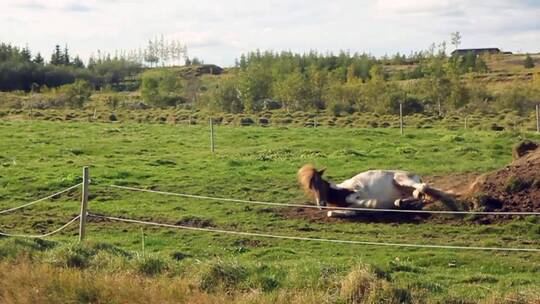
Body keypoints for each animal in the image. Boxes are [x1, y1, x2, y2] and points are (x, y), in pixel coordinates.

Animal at [298, 165, 454, 217]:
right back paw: (401, 202)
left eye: (321, 184)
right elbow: (333, 213)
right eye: (311, 187)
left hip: (401, 180)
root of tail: (416, 176)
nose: (321, 204)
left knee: (422, 189)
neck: (341, 191)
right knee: (420, 196)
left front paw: (371, 204)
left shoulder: (356, 192)